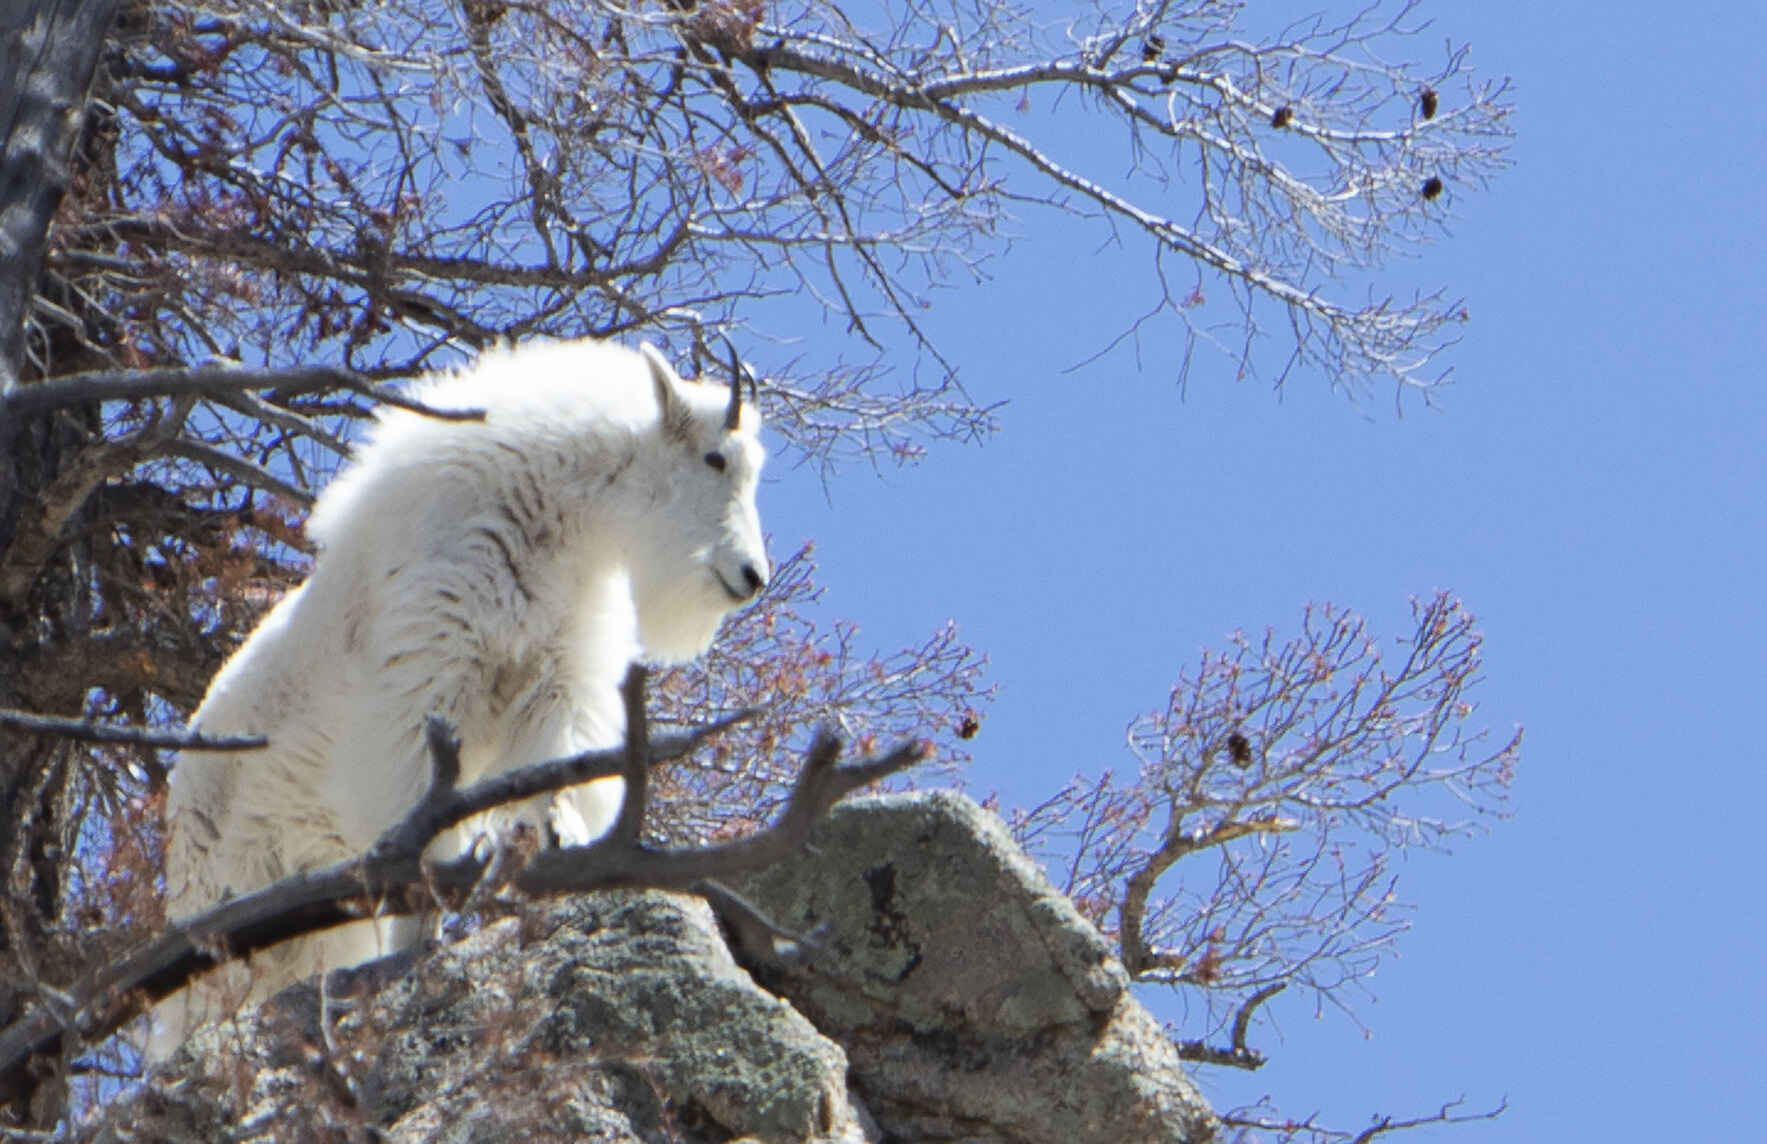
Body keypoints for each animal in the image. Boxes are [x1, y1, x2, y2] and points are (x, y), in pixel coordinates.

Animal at [160, 337, 773, 1053]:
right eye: (715, 458)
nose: (753, 576)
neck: (547, 518)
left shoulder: (553, 680)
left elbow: (553, 774)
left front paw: (556, 842)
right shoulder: (430, 679)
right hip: (222, 901)